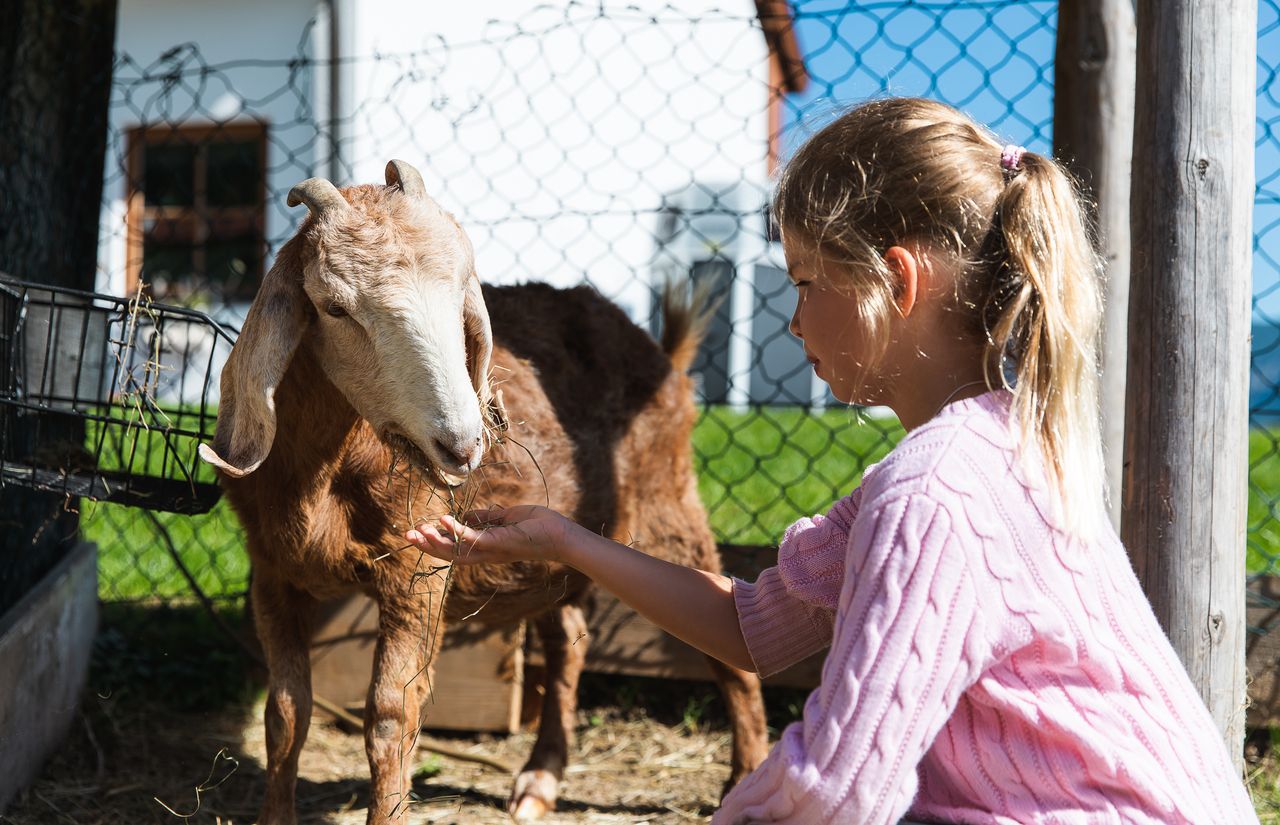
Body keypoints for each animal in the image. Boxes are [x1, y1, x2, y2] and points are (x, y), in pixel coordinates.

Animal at [194, 162, 762, 823]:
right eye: (334, 307)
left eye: (463, 294)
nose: (464, 444)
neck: (329, 472)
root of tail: (662, 354)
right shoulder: (272, 572)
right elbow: (285, 715)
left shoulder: (417, 569)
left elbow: (391, 717)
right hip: (564, 547)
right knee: (566, 641)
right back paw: (540, 779)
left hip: (668, 500)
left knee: (727, 632)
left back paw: (747, 773)